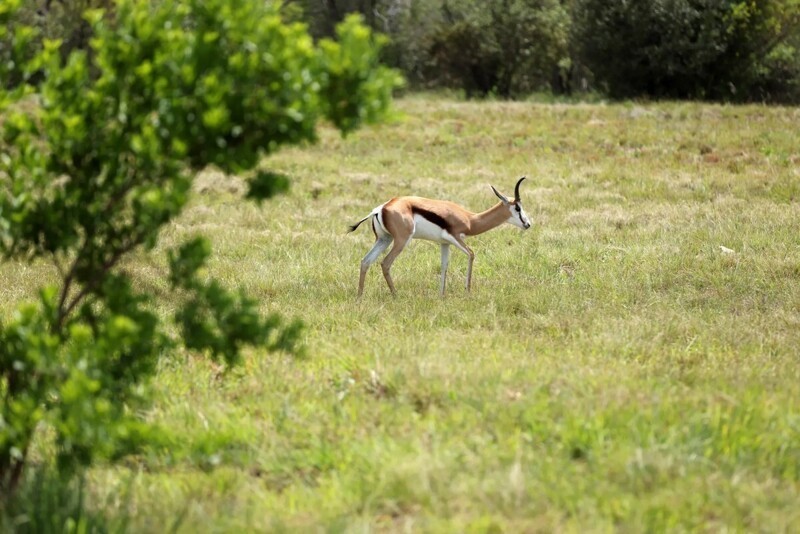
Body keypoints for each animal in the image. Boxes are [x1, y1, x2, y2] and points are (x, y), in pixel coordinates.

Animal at [348, 178, 532, 300]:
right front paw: (468, 292)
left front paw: (441, 295)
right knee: (385, 263)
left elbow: (444, 266)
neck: (470, 219)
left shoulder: (444, 243)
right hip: (401, 240)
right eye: (517, 207)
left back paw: (359, 297)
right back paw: (396, 296)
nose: (528, 224)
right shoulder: (456, 238)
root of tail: (381, 208)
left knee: (365, 261)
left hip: (384, 239)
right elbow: (471, 254)